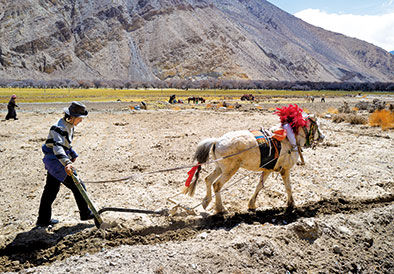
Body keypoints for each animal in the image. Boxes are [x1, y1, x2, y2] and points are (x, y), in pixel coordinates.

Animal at [183, 115, 324, 214]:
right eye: (317, 124)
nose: (323, 137)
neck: (289, 139)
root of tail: (217, 141)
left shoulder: (268, 170)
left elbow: (259, 186)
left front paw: (252, 204)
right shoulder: (285, 170)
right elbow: (288, 187)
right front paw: (291, 204)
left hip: (219, 168)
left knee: (208, 179)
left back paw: (206, 202)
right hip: (229, 170)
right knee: (216, 185)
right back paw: (221, 209)